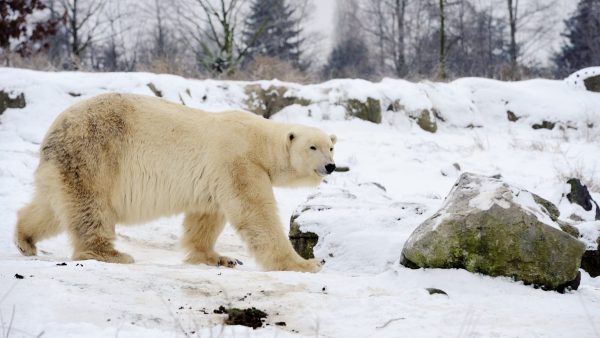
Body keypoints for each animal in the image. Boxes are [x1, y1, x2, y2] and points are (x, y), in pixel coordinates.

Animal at [12, 92, 338, 272]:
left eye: (331, 146)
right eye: (313, 147)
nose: (331, 166)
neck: (259, 141)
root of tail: (53, 131)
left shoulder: (215, 175)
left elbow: (205, 217)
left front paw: (219, 258)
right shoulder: (239, 161)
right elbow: (256, 214)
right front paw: (306, 264)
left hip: (66, 165)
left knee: (51, 208)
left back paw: (25, 240)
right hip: (96, 152)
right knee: (90, 207)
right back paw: (112, 254)